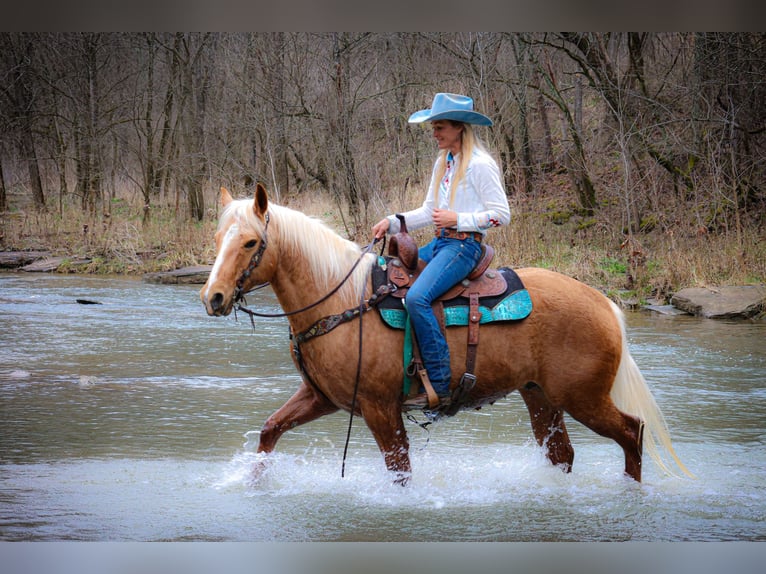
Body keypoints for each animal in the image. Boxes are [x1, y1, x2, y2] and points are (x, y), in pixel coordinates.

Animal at [201, 184, 692, 486]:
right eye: (219, 237)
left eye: (250, 243)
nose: (213, 297)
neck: (340, 302)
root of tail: (604, 303)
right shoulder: (321, 397)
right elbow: (269, 431)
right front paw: (251, 485)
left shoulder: (380, 409)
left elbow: (399, 470)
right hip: (540, 395)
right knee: (563, 454)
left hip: (583, 397)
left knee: (631, 432)